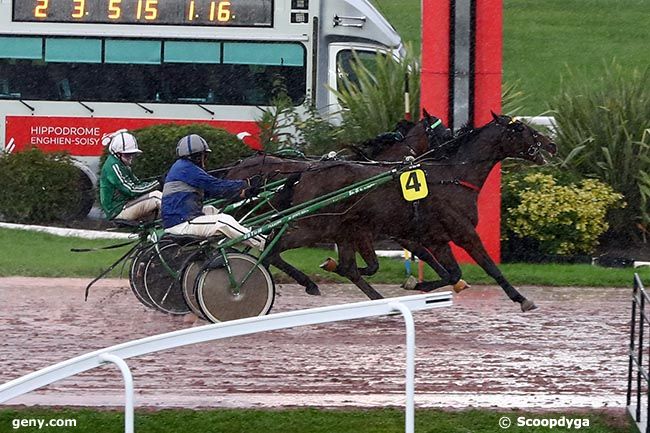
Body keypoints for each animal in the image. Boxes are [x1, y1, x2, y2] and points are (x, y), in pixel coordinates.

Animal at [256, 114, 556, 310]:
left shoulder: (436, 237)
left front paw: (416, 285)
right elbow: (491, 267)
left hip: (339, 228)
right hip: (314, 225)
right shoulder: (463, 233)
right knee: (271, 248)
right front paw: (521, 299)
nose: (551, 144)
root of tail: (305, 172)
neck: (454, 177)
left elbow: (452, 274)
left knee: (344, 266)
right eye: (524, 129)